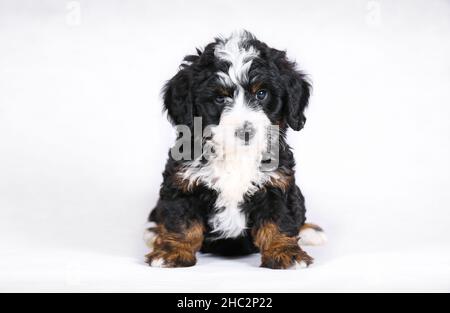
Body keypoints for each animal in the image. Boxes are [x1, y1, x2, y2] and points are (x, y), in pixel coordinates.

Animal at [146, 29, 326, 268]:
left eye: (261, 94)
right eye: (220, 98)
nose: (245, 131)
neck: (236, 156)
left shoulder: (277, 182)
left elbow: (279, 220)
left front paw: (285, 252)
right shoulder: (182, 182)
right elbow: (180, 221)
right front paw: (171, 251)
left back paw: (310, 232)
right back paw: (153, 232)